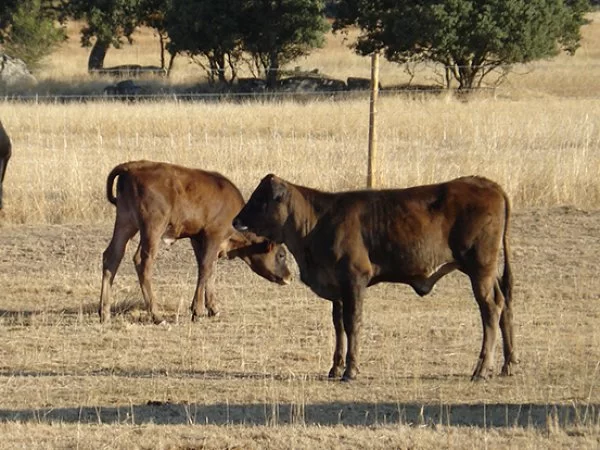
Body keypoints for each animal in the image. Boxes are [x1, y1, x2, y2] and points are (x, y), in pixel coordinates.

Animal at [101, 161, 292, 324]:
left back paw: (104, 313)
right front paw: (198, 311)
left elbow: (209, 270)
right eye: (281, 255)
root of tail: (131, 167)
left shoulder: (197, 239)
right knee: (142, 262)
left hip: (126, 222)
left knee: (112, 257)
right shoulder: (213, 236)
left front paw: (213, 308)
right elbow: (206, 268)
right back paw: (157, 316)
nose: (288, 277)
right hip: (153, 228)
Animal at [234, 174, 516, 382]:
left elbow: (352, 323)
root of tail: (486, 183)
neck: (318, 222)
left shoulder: (354, 279)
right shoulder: (337, 288)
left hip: (480, 268)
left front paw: (350, 370)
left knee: (491, 308)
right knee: (504, 303)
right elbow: (338, 325)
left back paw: (481, 369)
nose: (236, 220)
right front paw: (335, 367)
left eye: (259, 199)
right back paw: (509, 364)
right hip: (487, 272)